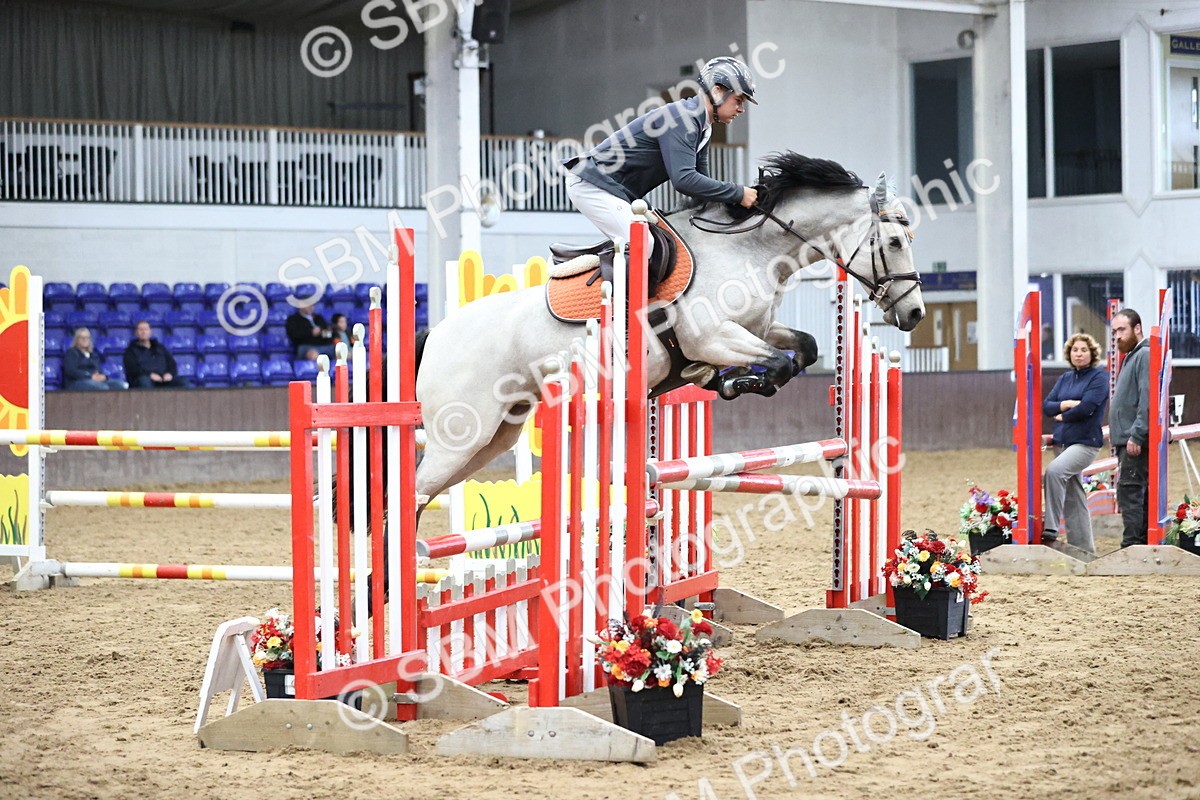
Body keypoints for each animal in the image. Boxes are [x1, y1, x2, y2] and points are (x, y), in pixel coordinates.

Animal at [413, 152, 925, 506]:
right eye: (894, 242)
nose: (916, 313)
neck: (749, 250)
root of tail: (435, 335)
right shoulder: (714, 337)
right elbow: (777, 363)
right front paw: (738, 383)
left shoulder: (758, 327)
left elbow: (805, 347)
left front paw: (727, 380)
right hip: (460, 434)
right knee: (412, 496)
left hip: (495, 434)